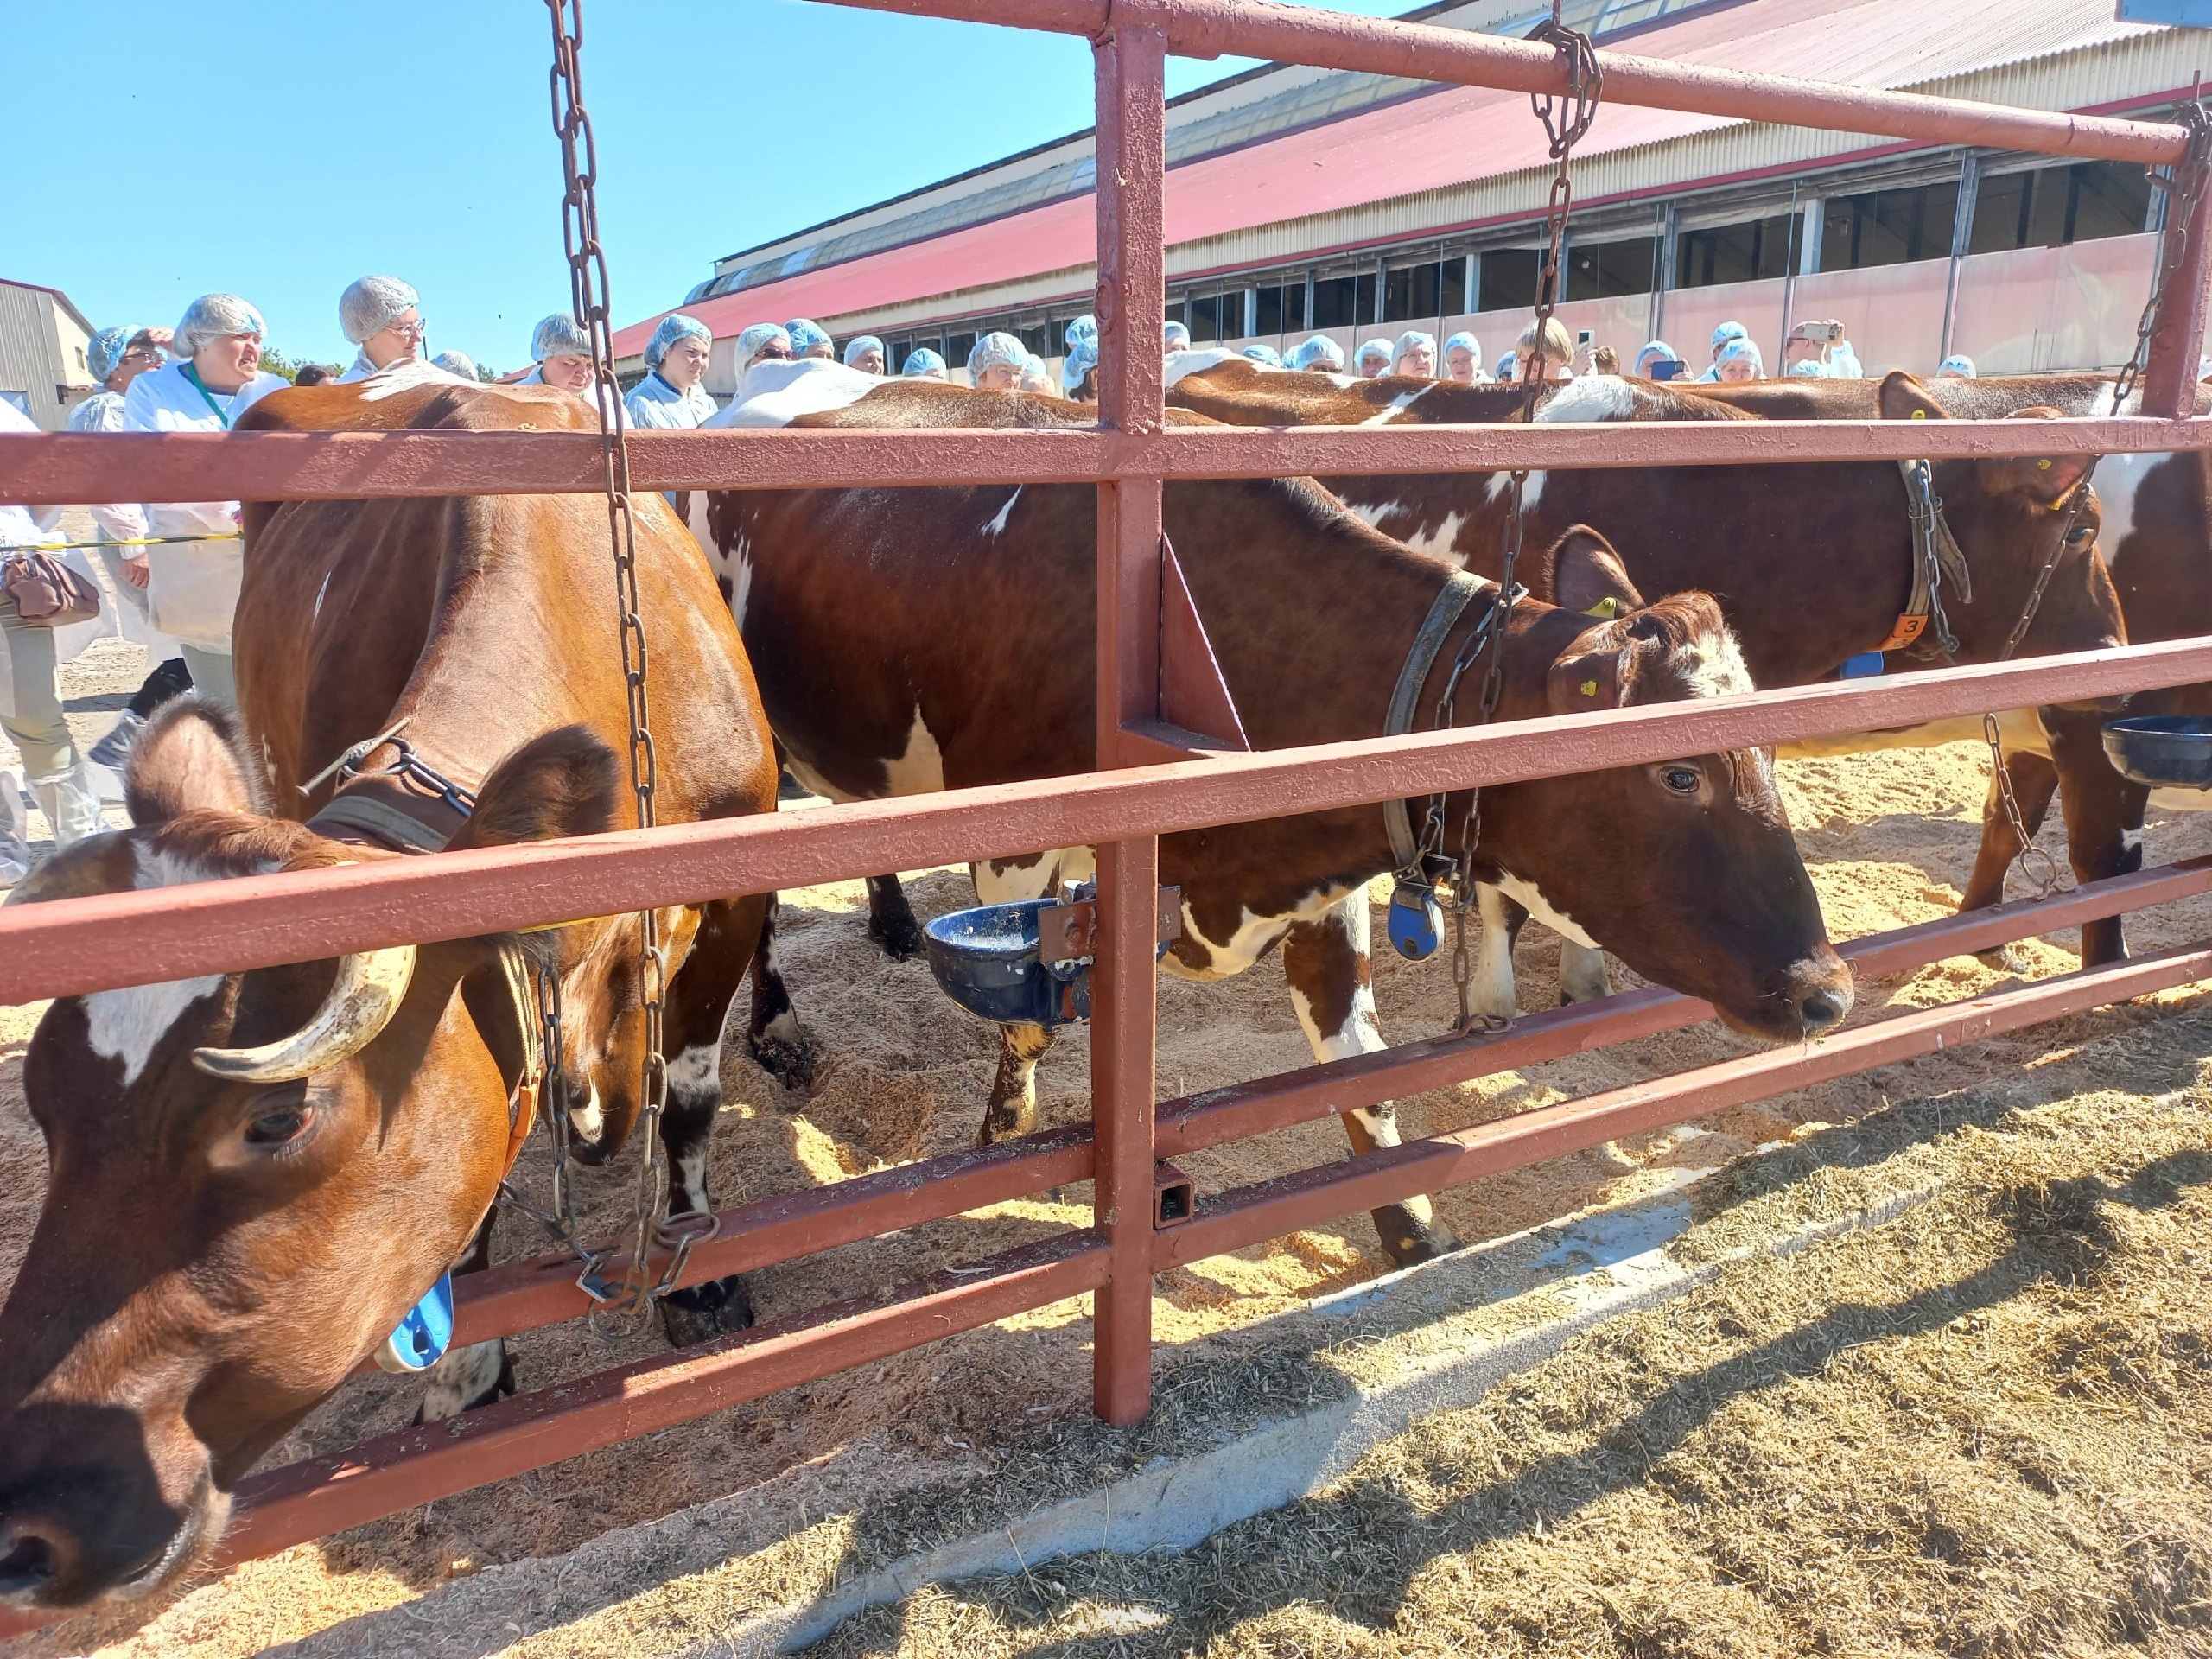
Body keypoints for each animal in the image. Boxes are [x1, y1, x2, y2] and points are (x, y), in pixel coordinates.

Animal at [0, 373, 791, 1610]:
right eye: (45, 1101)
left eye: (276, 1114)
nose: (28, 1522)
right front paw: (465, 1369)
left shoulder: (737, 889)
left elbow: (694, 1098)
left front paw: (699, 1275)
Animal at [698, 362, 1858, 1274]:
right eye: (1677, 775)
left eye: (1766, 746)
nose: (1828, 991)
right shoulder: (1023, 852)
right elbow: (1028, 1018)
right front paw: (1004, 1147)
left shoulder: (1325, 858)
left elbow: (1356, 1058)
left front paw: (1406, 1226)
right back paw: (780, 1031)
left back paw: (887, 928)